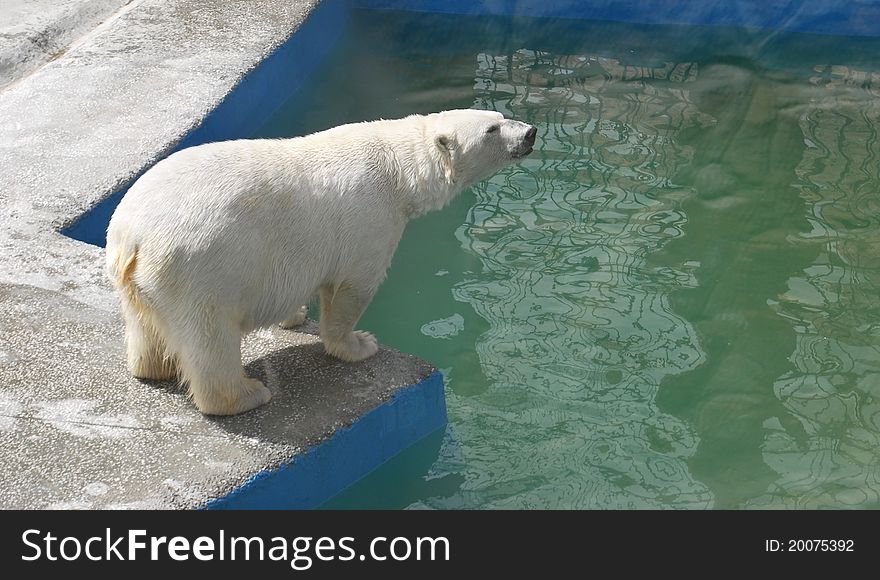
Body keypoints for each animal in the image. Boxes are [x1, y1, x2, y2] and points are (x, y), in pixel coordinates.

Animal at [106, 109, 540, 414]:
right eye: (492, 129)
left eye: (500, 116)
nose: (530, 132)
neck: (398, 171)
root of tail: (134, 237)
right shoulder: (367, 222)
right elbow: (350, 290)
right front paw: (360, 343)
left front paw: (294, 316)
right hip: (201, 269)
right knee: (210, 338)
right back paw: (246, 395)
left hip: (140, 278)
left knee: (146, 327)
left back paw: (151, 367)